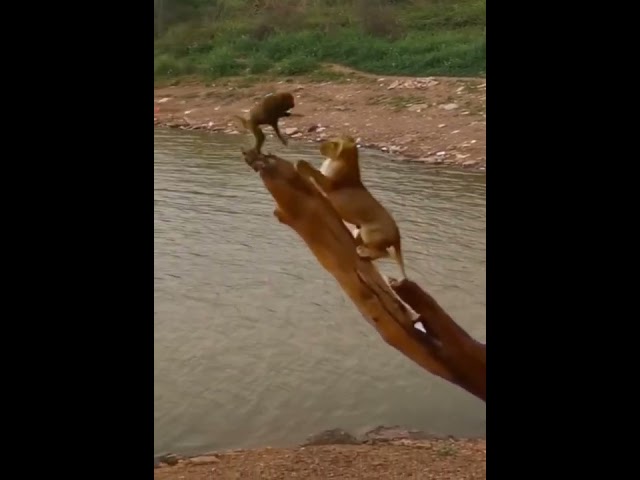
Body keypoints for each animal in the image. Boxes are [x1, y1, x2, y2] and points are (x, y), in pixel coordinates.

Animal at [295, 134, 407, 279]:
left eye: (333, 143)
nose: (320, 147)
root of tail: (397, 234)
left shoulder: (329, 184)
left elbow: (315, 173)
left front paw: (301, 163)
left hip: (368, 232)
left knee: (385, 254)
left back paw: (363, 252)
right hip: (360, 231)